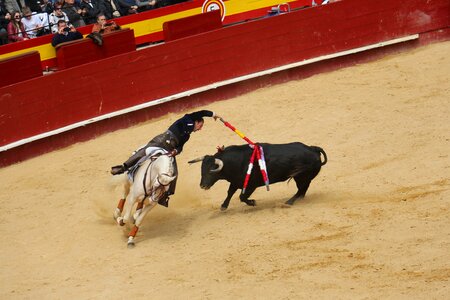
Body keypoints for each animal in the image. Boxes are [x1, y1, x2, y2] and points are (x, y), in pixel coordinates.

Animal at [188, 142, 328, 209]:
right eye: (202, 170)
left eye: (211, 171)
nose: (202, 185)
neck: (235, 161)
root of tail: (313, 149)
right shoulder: (236, 181)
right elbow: (230, 192)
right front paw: (223, 206)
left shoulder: (251, 185)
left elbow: (242, 196)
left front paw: (253, 202)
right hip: (303, 177)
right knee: (303, 190)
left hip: (301, 177)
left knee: (301, 189)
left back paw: (288, 202)